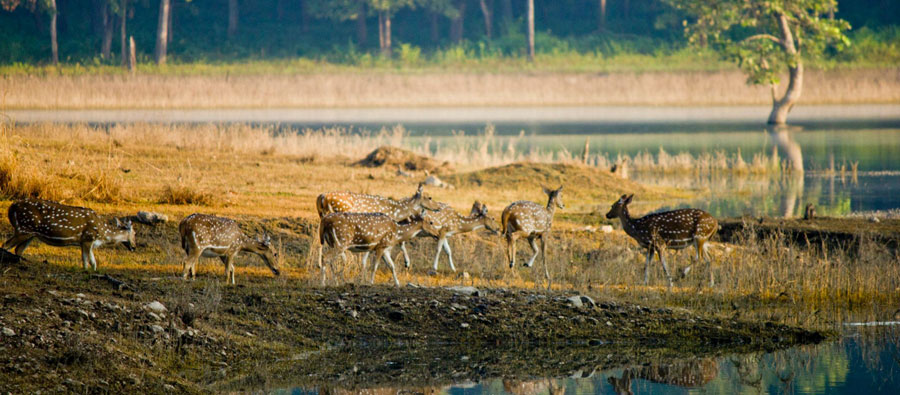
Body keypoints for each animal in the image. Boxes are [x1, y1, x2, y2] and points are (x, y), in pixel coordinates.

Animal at [2, 200, 136, 270]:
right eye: (134, 233)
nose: (134, 247)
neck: (102, 233)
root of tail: (11, 208)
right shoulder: (88, 237)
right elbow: (87, 260)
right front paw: (87, 271)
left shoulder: (85, 241)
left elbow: (91, 261)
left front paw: (91, 271)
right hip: (23, 228)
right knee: (5, 245)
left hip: (30, 234)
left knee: (18, 249)